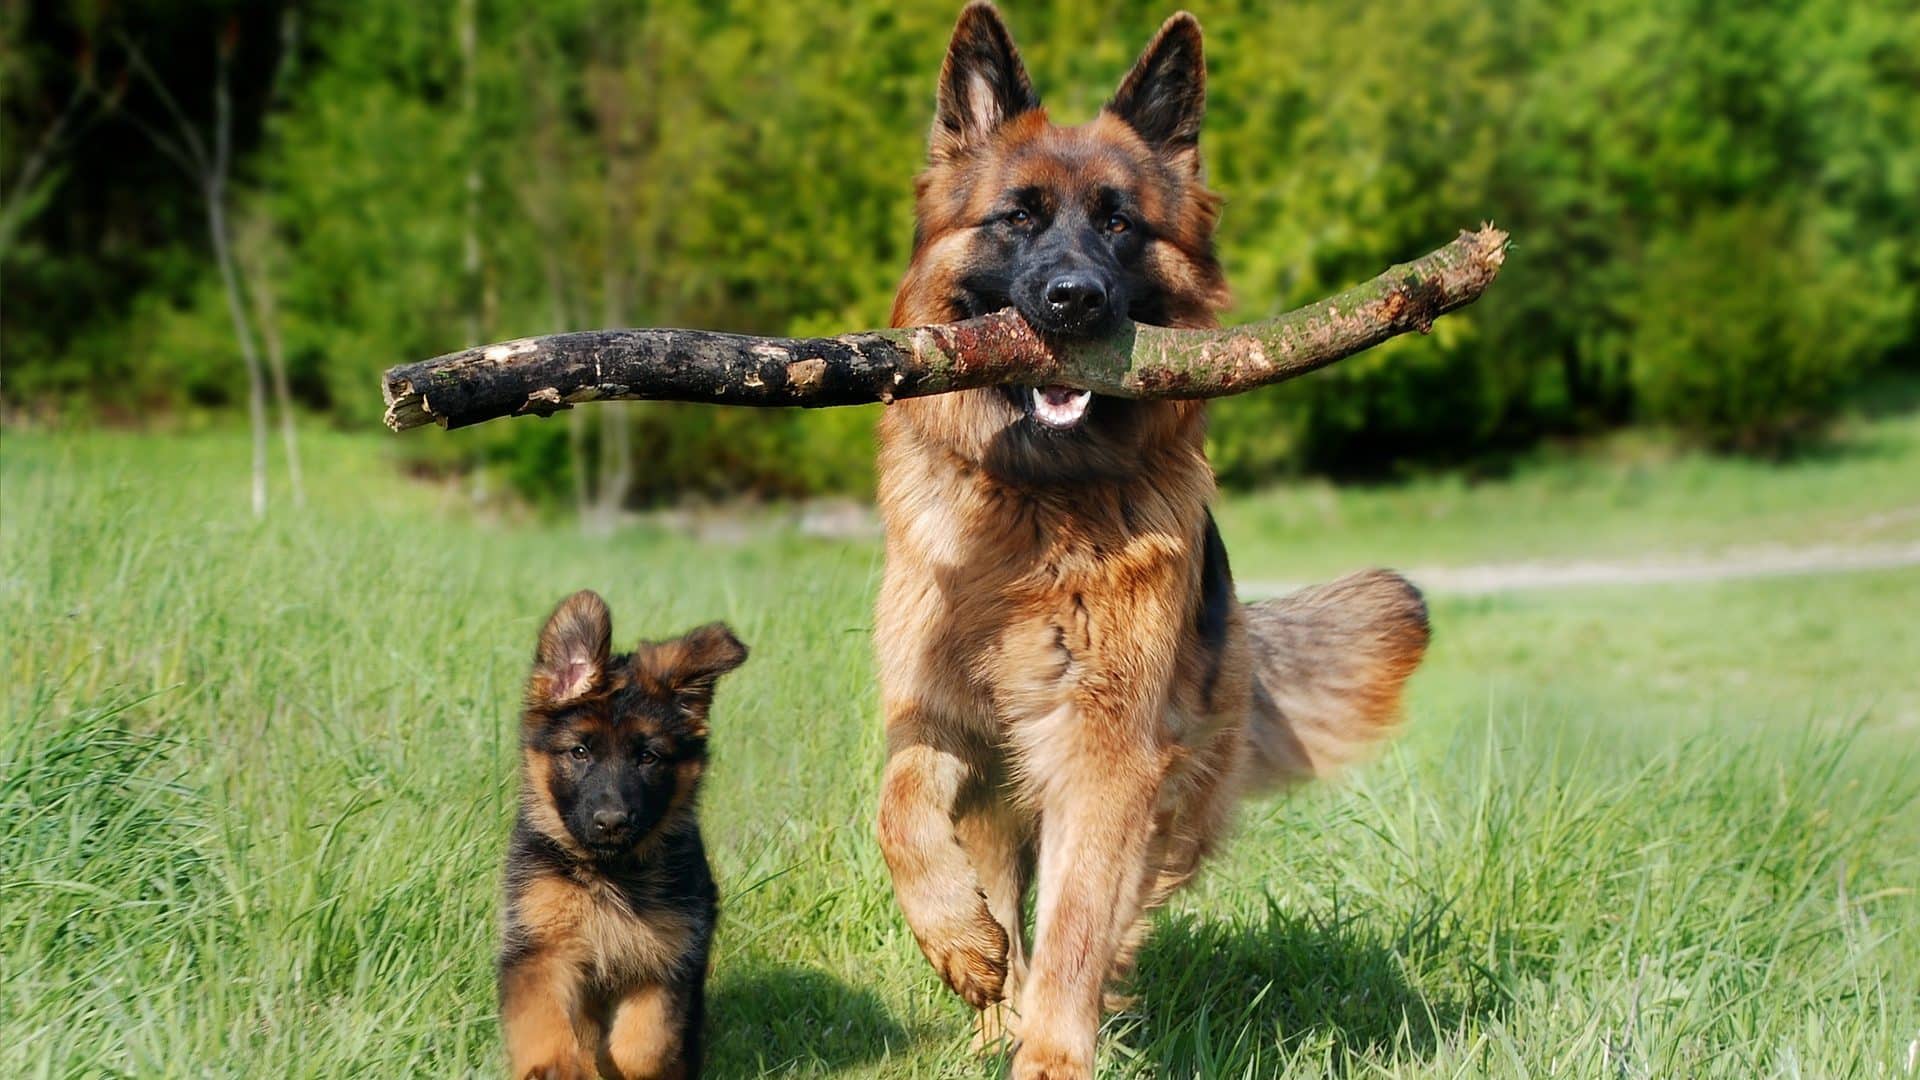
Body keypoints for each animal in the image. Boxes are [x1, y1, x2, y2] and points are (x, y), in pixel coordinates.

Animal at [499, 588, 744, 1076]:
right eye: (579, 752)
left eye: (648, 757)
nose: (612, 822)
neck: (609, 874)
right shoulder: (540, 947)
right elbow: (544, 1019)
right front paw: (557, 1066)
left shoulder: (668, 960)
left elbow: (643, 1043)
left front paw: (621, 1067)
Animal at [879, 4, 1436, 1068]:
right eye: (1018, 217)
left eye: (1119, 224)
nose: (1074, 301)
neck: (1039, 503)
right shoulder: (938, 712)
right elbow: (900, 811)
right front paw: (959, 942)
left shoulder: (1106, 750)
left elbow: (1076, 922)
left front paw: (1053, 1055)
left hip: (1167, 784)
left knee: (1110, 907)